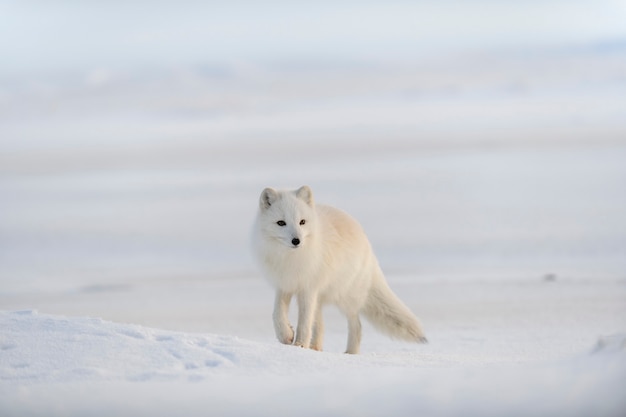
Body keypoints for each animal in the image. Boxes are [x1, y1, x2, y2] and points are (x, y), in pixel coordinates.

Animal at [249, 185, 424, 352]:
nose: (296, 241)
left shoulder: (308, 288)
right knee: (321, 324)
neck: (289, 258)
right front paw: (286, 335)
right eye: (281, 223)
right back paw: (316, 348)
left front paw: (300, 345)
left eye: (302, 222)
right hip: (322, 297)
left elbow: (304, 322)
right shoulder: (284, 284)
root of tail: (367, 244)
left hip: (344, 295)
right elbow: (277, 313)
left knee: (356, 324)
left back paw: (350, 352)